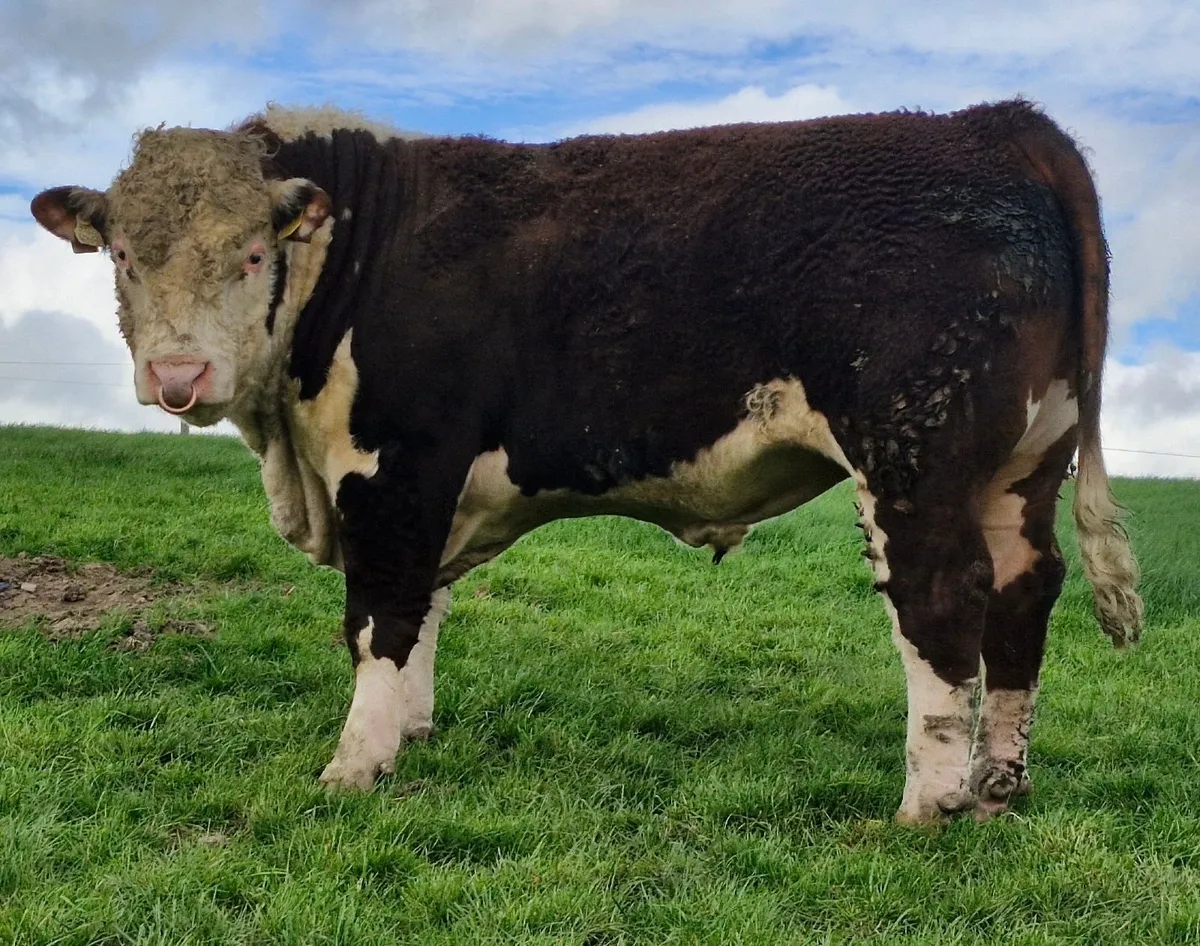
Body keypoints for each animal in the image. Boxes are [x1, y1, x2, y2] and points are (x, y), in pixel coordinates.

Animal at [31, 99, 1142, 824]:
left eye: (253, 253)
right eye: (125, 257)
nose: (178, 375)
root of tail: (994, 121)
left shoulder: (395, 466)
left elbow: (379, 615)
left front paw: (355, 765)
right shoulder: (429, 488)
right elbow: (425, 604)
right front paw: (413, 733)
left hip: (914, 453)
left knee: (943, 600)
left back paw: (928, 803)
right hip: (1023, 461)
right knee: (1024, 589)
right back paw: (1000, 786)